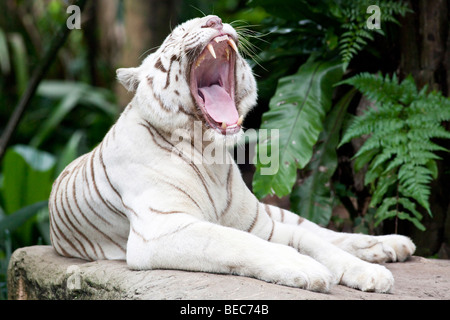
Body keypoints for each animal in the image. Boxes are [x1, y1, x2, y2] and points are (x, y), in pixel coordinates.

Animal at [48, 16, 414, 294]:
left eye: (213, 20)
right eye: (176, 34)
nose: (215, 20)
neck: (208, 154)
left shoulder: (259, 224)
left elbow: (312, 241)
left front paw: (369, 273)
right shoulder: (161, 229)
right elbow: (237, 243)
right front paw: (307, 269)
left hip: (267, 212)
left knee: (320, 231)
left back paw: (392, 245)